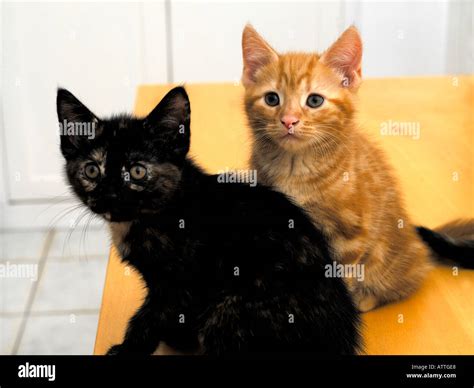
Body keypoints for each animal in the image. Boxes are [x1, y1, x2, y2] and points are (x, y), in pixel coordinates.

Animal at [55, 86, 362, 356]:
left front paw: (129, 349)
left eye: (138, 171)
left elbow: (150, 317)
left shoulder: (180, 283)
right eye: (92, 170)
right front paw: (177, 339)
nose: (110, 194)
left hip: (229, 310)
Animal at [243, 25, 472, 312]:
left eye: (314, 101)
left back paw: (366, 298)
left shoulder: (349, 235)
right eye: (272, 99)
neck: (295, 168)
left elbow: (340, 274)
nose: (288, 120)